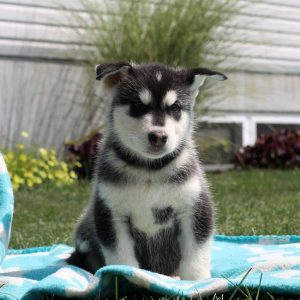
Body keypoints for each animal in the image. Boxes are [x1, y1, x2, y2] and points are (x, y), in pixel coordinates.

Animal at [67, 62, 227, 280]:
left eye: (175, 108)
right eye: (137, 105)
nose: (158, 136)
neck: (150, 171)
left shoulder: (195, 207)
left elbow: (196, 253)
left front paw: (197, 281)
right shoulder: (111, 213)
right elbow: (121, 258)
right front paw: (124, 278)